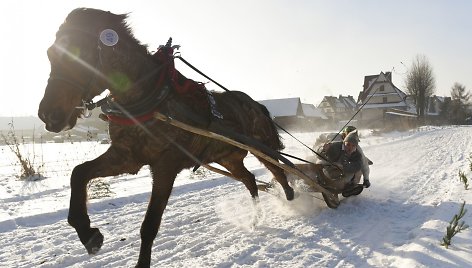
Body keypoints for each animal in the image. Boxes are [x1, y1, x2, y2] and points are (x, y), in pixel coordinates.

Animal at [37, 7, 296, 266]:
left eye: (75, 54)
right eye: (50, 54)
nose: (47, 114)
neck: (151, 99)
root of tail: (254, 104)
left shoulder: (166, 164)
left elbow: (150, 225)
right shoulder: (126, 156)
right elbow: (78, 173)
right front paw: (87, 232)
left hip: (260, 147)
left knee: (279, 170)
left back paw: (292, 197)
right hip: (228, 158)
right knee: (250, 179)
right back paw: (257, 217)